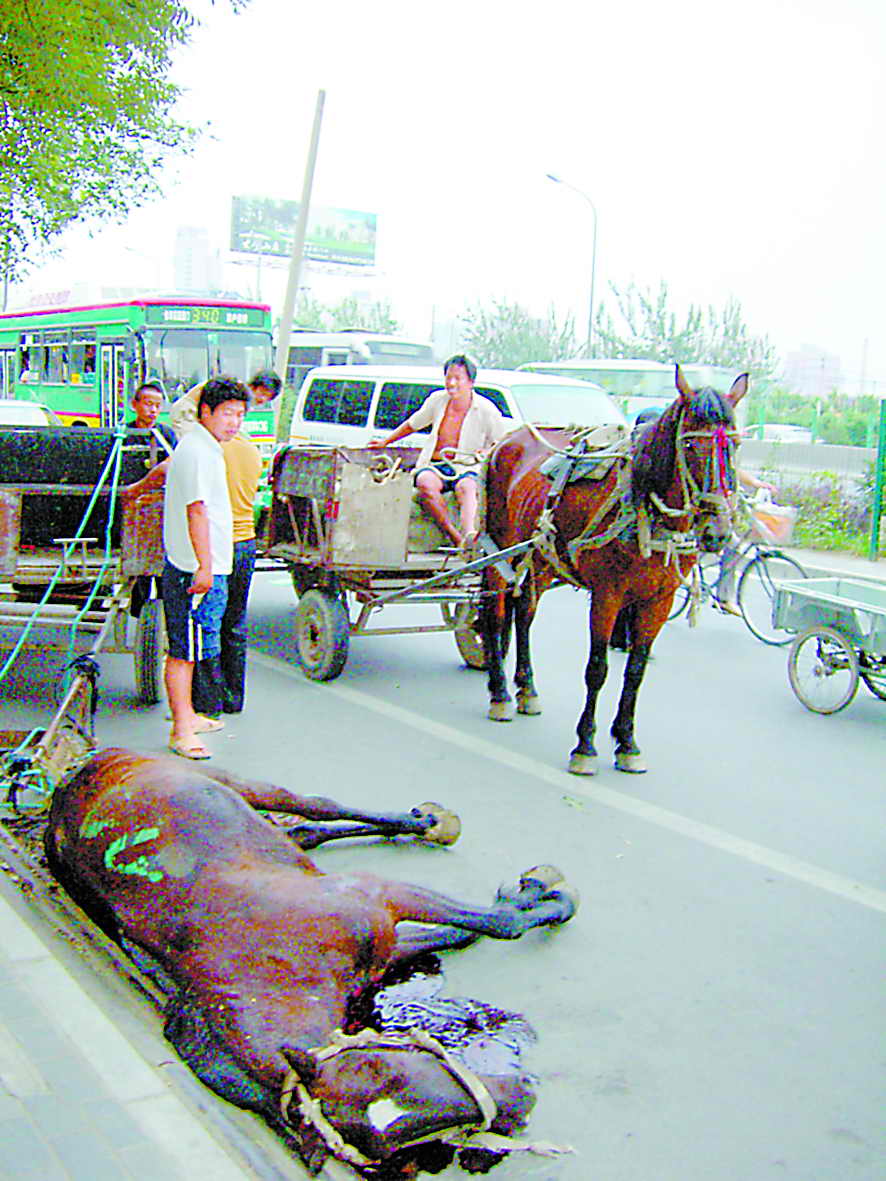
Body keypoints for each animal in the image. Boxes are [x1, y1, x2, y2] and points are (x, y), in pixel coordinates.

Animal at [45, 751, 578, 1176]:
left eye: (395, 1063)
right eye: (409, 1140)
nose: (523, 1096)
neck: (270, 970)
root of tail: (78, 772)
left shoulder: (377, 896)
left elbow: (493, 923)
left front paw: (541, 894)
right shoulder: (378, 940)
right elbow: (480, 929)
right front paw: (539, 901)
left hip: (240, 783)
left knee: (316, 806)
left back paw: (421, 822)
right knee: (304, 830)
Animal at [481, 363, 746, 779]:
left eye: (733, 445)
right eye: (690, 446)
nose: (716, 532)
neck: (646, 510)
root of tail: (506, 439)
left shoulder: (658, 600)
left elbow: (635, 670)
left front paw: (627, 741)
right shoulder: (608, 595)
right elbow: (598, 668)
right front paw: (585, 745)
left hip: (540, 557)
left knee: (523, 614)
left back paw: (526, 688)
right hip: (498, 548)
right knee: (495, 614)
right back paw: (499, 691)